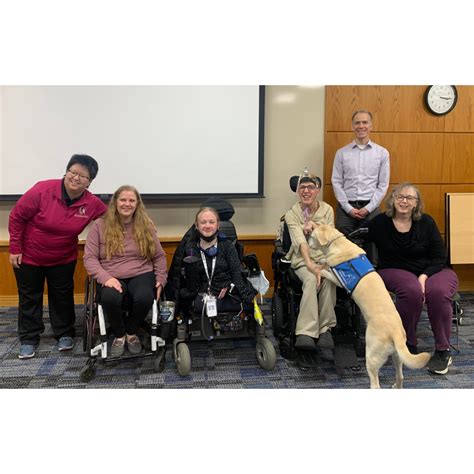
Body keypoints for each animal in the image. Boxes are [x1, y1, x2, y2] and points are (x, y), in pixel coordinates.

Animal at [312, 224, 431, 389]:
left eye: (311, 236)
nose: (307, 242)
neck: (337, 243)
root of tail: (395, 333)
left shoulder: (338, 279)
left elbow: (327, 271)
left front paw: (319, 267)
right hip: (397, 356)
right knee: (400, 377)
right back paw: (396, 385)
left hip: (372, 356)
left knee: (375, 384)